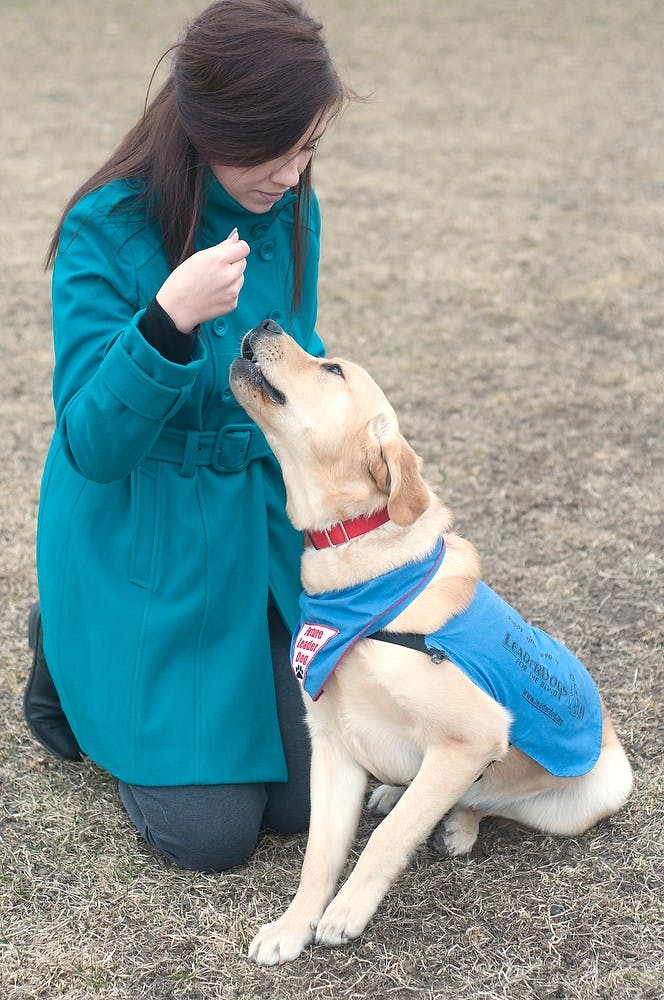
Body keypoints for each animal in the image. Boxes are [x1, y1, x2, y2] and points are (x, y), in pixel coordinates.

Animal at [228, 318, 632, 960]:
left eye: (332, 369)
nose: (265, 320)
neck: (357, 578)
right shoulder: (332, 746)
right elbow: (319, 853)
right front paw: (293, 926)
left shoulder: (474, 735)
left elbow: (387, 839)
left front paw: (347, 912)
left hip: (592, 792)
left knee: (481, 804)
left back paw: (458, 824)